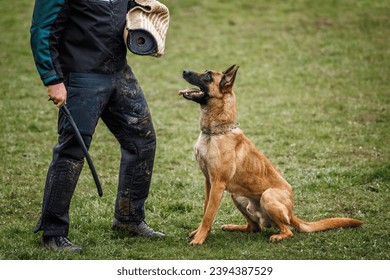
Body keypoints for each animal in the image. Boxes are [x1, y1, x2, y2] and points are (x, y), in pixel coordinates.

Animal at [178, 64, 362, 244]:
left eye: (208, 75)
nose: (184, 71)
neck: (214, 132)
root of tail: (291, 212)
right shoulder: (208, 182)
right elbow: (205, 210)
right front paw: (198, 233)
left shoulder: (218, 184)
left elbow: (208, 215)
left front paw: (199, 238)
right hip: (236, 195)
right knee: (254, 227)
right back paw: (233, 227)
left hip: (268, 195)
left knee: (287, 231)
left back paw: (278, 236)